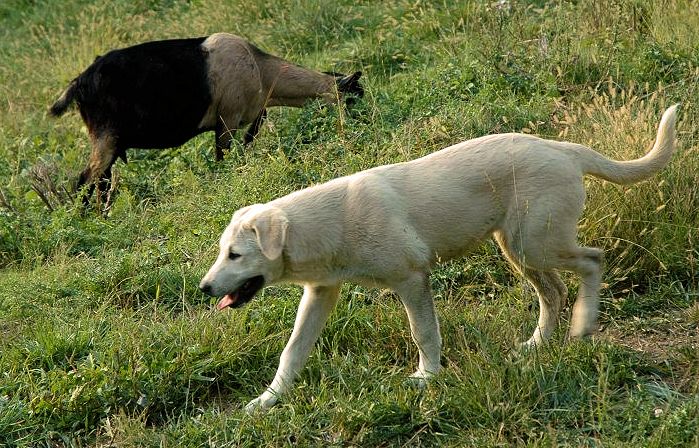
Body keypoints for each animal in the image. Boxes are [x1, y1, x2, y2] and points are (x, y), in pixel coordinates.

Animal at [48, 32, 364, 203]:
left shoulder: (251, 117)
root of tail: (79, 83)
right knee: (85, 180)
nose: (364, 126)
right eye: (352, 99)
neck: (261, 69)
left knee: (100, 183)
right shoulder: (227, 121)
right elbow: (223, 159)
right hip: (105, 138)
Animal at [198, 106, 680, 412]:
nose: (204, 289)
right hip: (518, 247)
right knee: (555, 292)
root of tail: (562, 148)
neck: (330, 222)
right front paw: (268, 400)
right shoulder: (320, 292)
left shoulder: (412, 279)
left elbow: (423, 332)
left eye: (235, 255)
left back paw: (583, 324)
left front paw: (427, 378)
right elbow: (293, 351)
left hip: (536, 243)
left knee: (593, 261)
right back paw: (538, 344)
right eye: (223, 253)